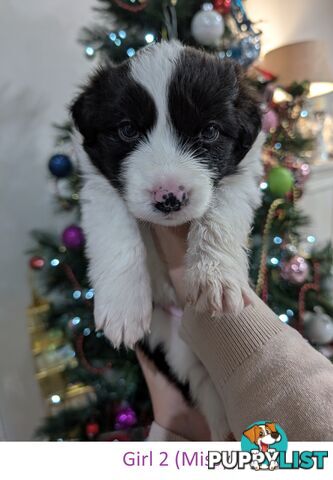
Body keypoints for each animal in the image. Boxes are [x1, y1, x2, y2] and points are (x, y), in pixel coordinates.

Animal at [72, 41, 262, 438]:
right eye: (127, 130)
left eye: (209, 133)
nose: (169, 197)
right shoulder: (99, 182)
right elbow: (116, 232)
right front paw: (123, 308)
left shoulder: (243, 172)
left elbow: (219, 215)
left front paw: (215, 278)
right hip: (173, 344)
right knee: (202, 384)